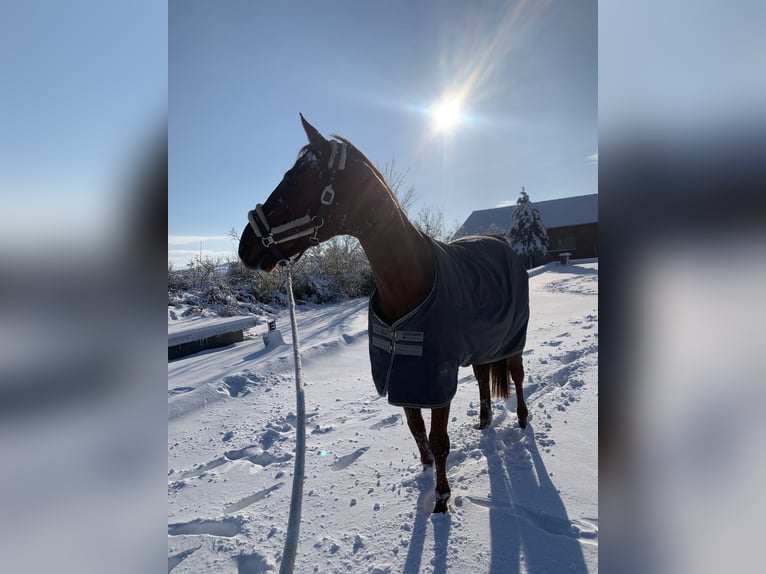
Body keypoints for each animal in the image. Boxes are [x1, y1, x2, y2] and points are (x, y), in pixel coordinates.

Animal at [240, 115, 528, 516]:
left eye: (295, 179)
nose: (245, 248)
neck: (411, 284)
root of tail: (503, 245)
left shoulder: (436, 380)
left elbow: (439, 439)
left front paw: (441, 500)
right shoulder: (404, 375)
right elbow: (417, 430)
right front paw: (426, 476)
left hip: (513, 340)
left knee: (516, 375)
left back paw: (523, 422)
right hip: (482, 344)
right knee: (485, 378)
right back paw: (485, 422)